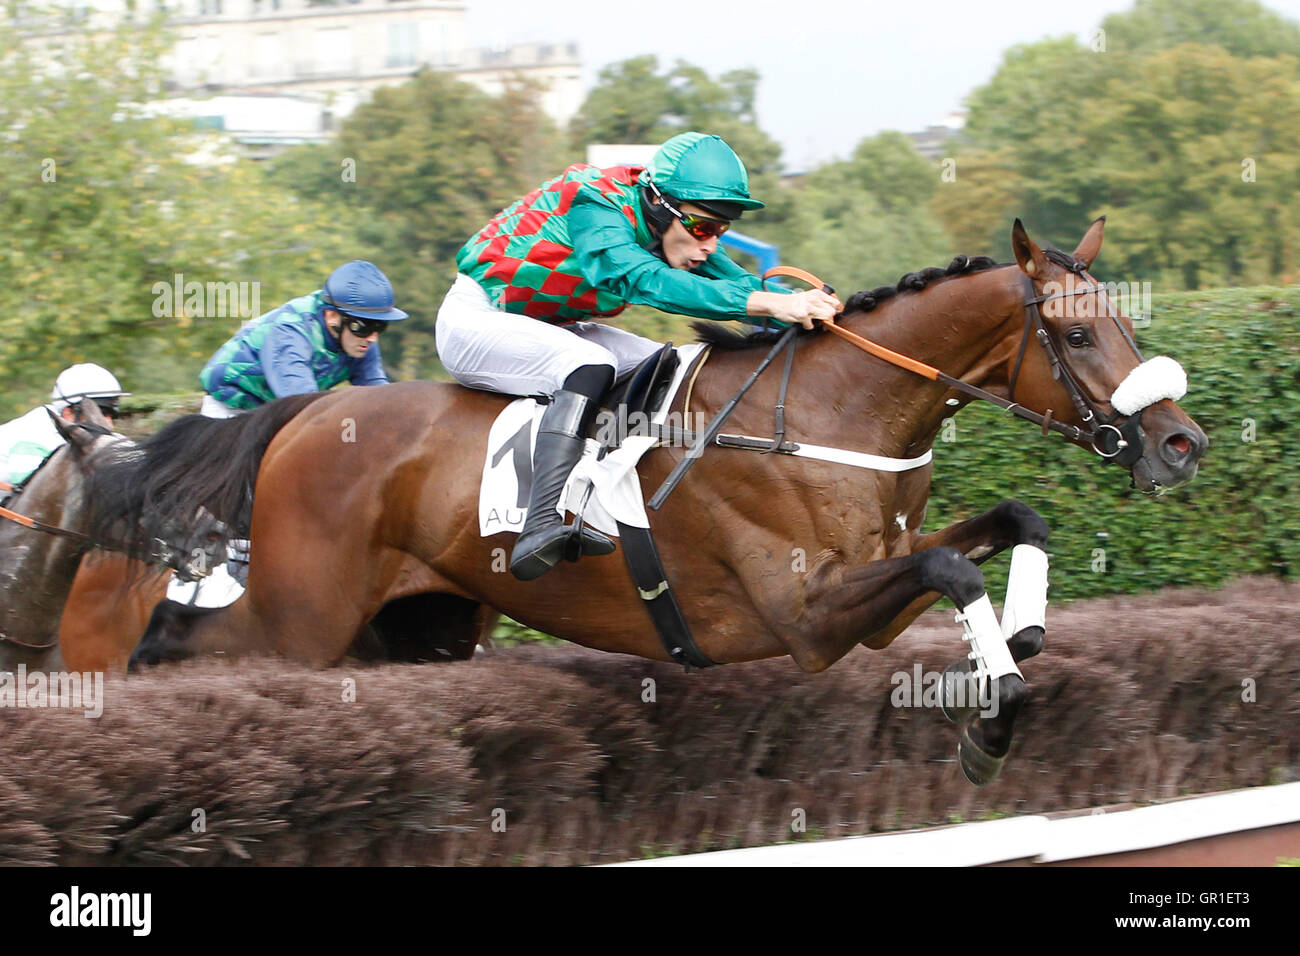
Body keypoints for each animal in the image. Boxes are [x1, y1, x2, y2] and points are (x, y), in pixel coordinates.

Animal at [83, 222, 1206, 785]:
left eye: (1121, 319)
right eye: (1075, 334)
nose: (1181, 441)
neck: (830, 411)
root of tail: (308, 413)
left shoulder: (868, 596)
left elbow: (1014, 523)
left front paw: (1026, 635)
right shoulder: (804, 618)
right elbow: (949, 565)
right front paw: (996, 711)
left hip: (419, 624)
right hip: (301, 617)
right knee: (189, 650)